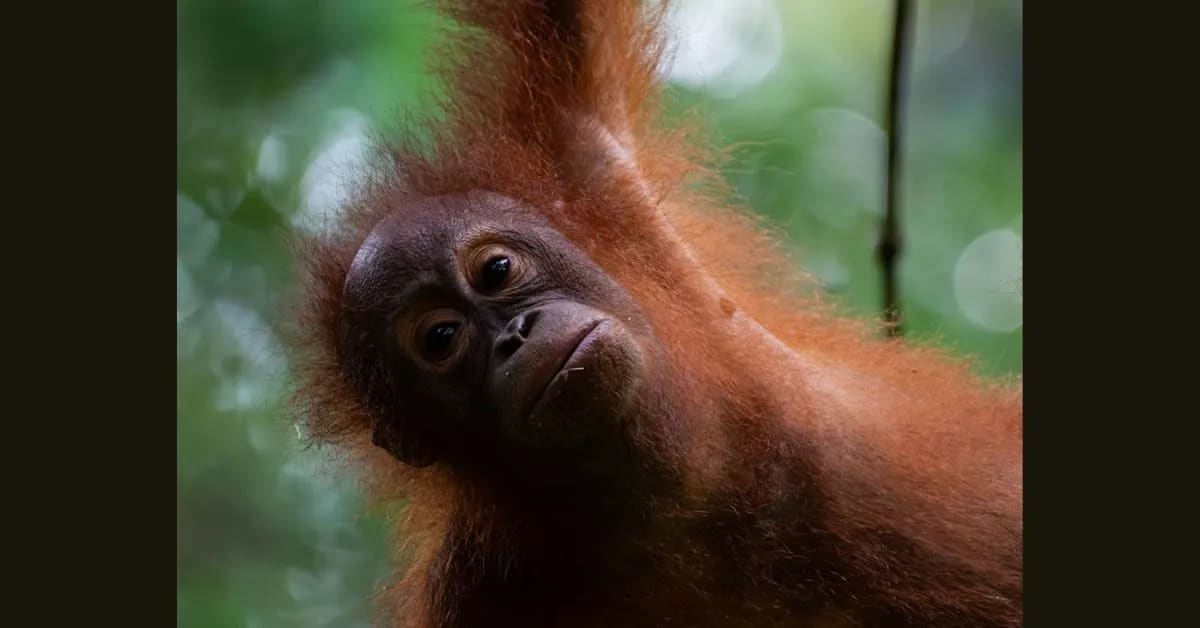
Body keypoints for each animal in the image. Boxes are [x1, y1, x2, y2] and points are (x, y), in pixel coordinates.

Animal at [290, 1, 1022, 627]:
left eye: (495, 271)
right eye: (441, 337)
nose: (515, 336)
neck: (685, 498)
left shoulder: (589, 170)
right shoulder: (482, 599)